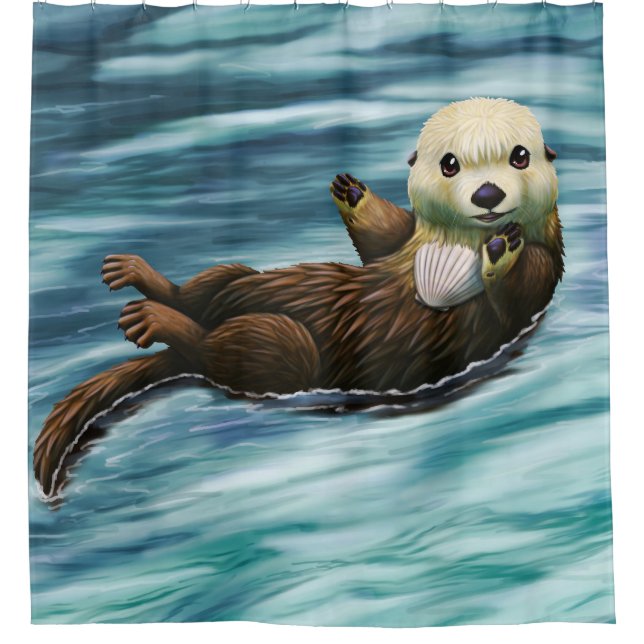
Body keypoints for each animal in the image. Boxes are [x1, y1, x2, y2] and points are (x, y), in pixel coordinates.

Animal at [34, 98, 564, 498]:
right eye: (449, 163)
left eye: (520, 156)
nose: (488, 194)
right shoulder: (403, 239)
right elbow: (382, 239)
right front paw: (352, 193)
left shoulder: (538, 274)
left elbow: (513, 294)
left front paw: (502, 248)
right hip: (235, 282)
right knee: (202, 294)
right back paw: (138, 276)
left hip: (284, 349)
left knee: (207, 348)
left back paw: (149, 319)